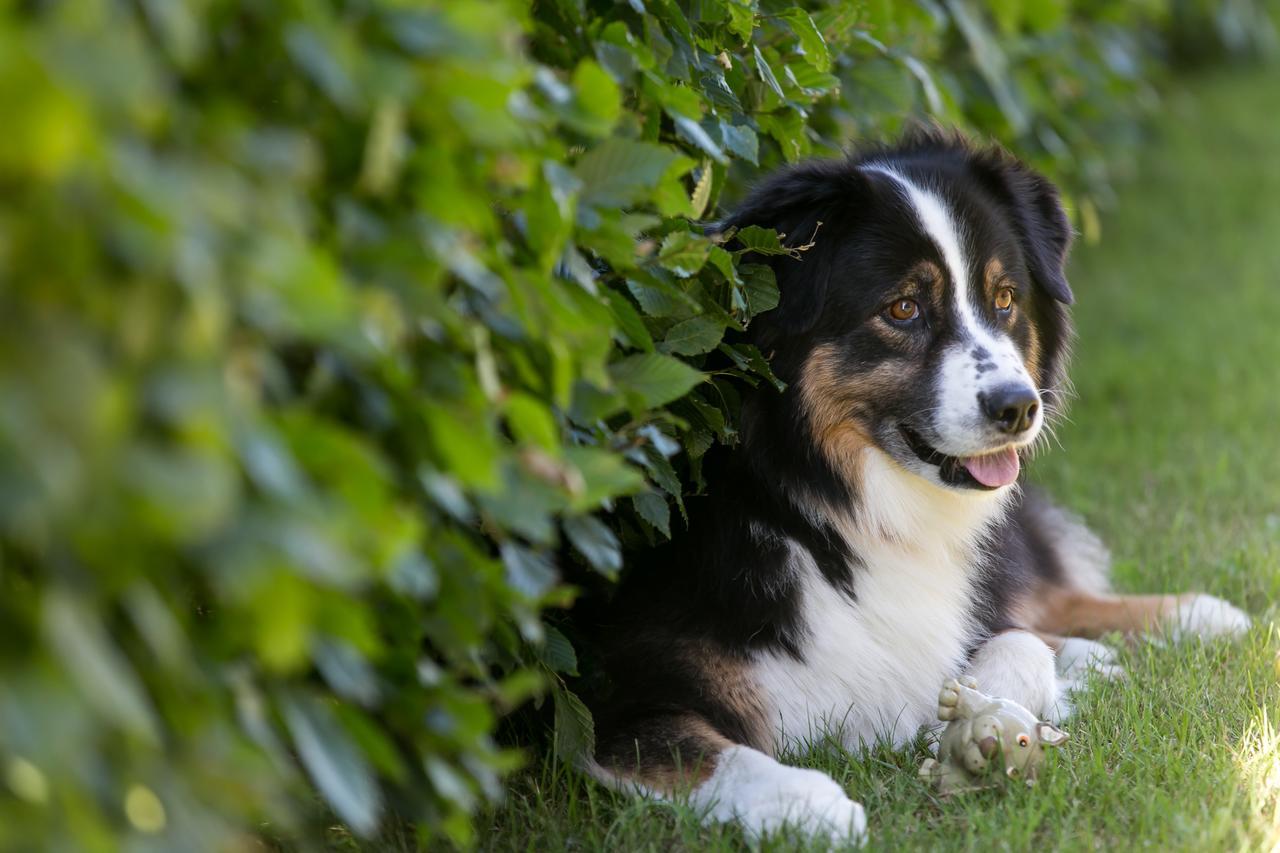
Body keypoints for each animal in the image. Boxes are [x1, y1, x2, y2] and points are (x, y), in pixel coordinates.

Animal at [586, 129, 1249, 840]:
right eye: (903, 308)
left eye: (1005, 299)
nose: (1020, 408)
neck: (826, 504)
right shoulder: (609, 697)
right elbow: (711, 755)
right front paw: (815, 805)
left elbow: (1018, 644)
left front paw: (974, 717)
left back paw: (1200, 616)